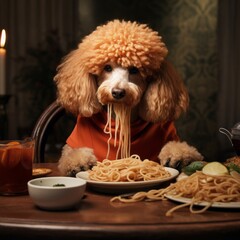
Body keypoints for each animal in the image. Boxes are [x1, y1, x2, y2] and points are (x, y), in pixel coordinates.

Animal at [54, 19, 202, 176]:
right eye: (107, 67)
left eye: (134, 70)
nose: (118, 92)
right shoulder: (74, 143)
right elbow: (71, 154)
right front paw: (79, 162)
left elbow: (179, 147)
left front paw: (178, 156)